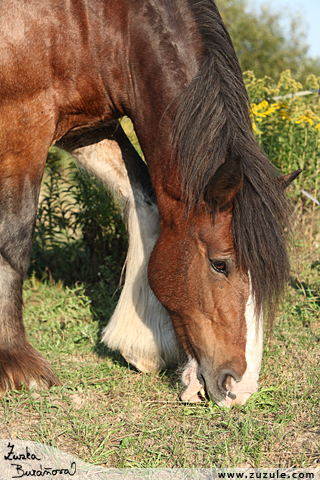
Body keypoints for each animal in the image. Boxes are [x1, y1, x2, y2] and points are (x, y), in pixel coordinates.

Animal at [0, 0, 300, 404]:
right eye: (220, 264)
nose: (240, 388)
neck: (99, 25)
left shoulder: (86, 125)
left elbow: (145, 200)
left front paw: (143, 342)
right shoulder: (24, 121)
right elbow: (14, 236)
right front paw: (16, 360)